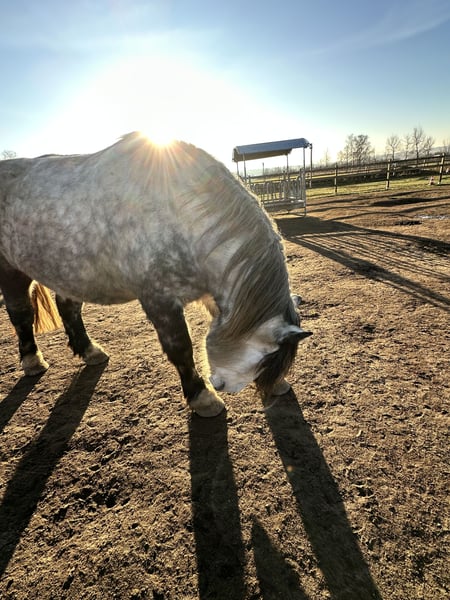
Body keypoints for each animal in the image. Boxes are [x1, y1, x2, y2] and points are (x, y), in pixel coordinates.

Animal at [0, 132, 311, 417]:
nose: (225, 386)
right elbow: (180, 347)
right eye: (263, 360)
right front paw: (203, 398)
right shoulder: (159, 299)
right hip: (11, 270)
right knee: (21, 314)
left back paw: (90, 352)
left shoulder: (214, 295)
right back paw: (32, 362)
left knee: (68, 309)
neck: (183, 214)